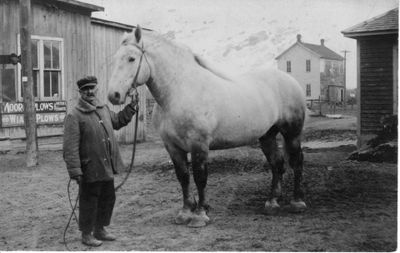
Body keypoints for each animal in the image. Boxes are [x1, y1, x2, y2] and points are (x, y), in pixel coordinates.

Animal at [106, 26, 306, 227]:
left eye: (131, 58)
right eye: (113, 59)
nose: (113, 95)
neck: (179, 92)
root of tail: (291, 81)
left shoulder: (199, 144)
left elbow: (200, 177)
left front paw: (200, 215)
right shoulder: (172, 146)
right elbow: (183, 177)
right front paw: (185, 212)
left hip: (292, 134)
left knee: (296, 161)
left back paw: (297, 203)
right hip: (267, 136)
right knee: (276, 163)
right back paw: (272, 202)